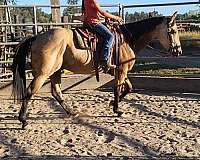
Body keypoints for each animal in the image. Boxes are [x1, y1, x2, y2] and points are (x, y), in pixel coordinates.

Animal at [11, 11, 182, 128]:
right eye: (173, 31)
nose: (178, 51)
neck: (127, 39)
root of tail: (36, 37)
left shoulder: (120, 70)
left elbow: (128, 88)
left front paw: (113, 103)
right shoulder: (122, 70)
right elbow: (118, 88)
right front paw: (117, 109)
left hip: (56, 71)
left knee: (56, 92)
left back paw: (71, 112)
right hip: (43, 73)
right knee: (30, 91)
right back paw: (23, 120)